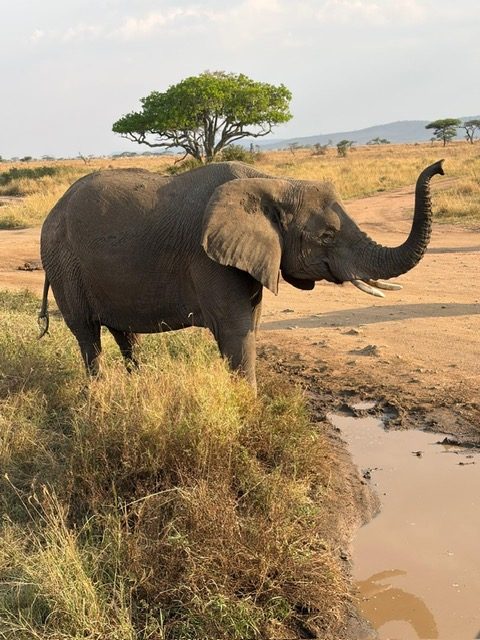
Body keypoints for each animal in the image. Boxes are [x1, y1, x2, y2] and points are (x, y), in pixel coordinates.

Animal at [39, 160, 444, 390]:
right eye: (327, 236)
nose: (439, 167)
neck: (275, 183)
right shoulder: (208, 259)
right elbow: (237, 330)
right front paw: (248, 406)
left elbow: (252, 322)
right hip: (63, 263)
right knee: (88, 335)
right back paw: (97, 393)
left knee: (125, 334)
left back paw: (135, 385)